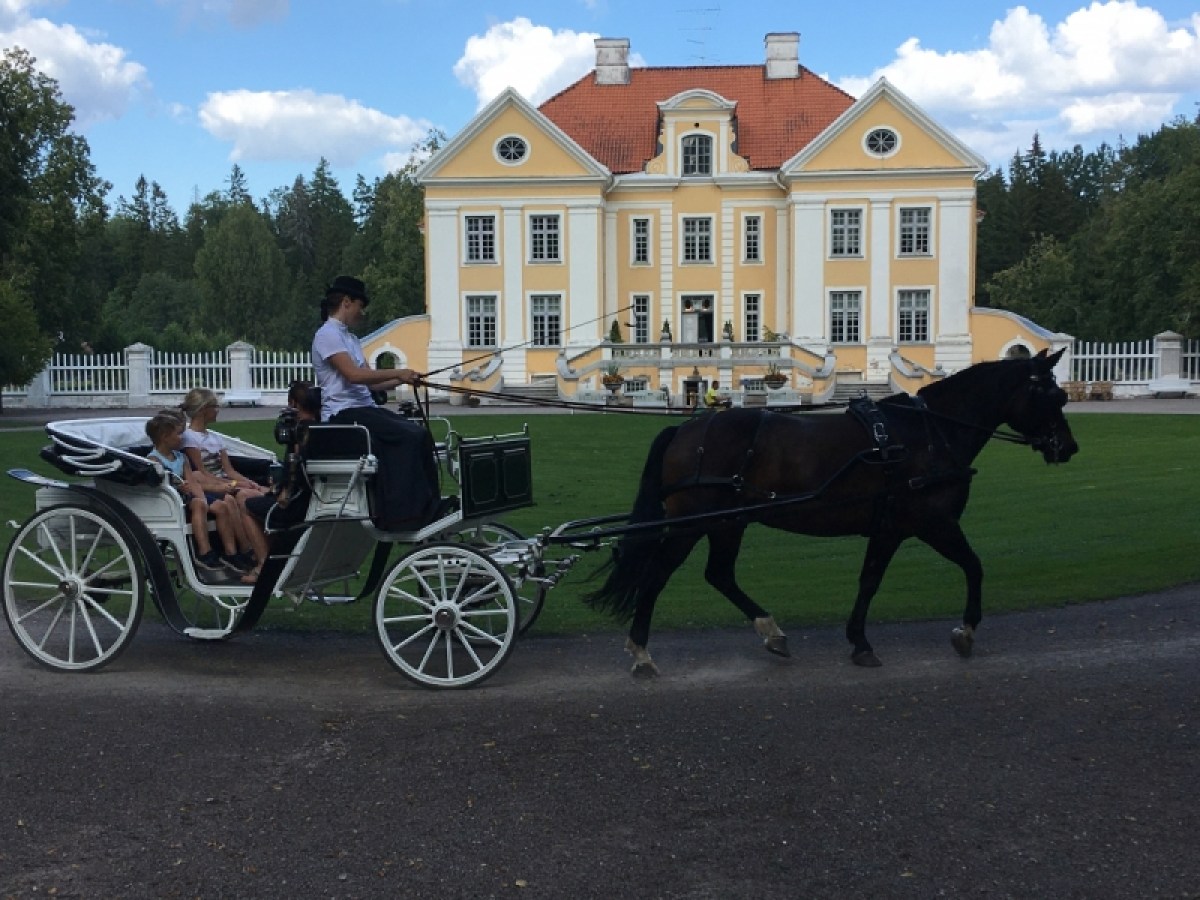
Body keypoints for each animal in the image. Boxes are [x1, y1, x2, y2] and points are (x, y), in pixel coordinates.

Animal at [585, 349, 1079, 675]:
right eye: (1053, 398)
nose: (1068, 448)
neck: (929, 432)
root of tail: (688, 427)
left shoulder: (890, 528)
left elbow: (869, 580)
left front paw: (859, 640)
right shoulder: (932, 523)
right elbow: (973, 567)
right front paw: (966, 630)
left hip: (728, 522)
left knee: (719, 574)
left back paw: (771, 632)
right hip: (693, 524)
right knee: (658, 575)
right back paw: (642, 650)